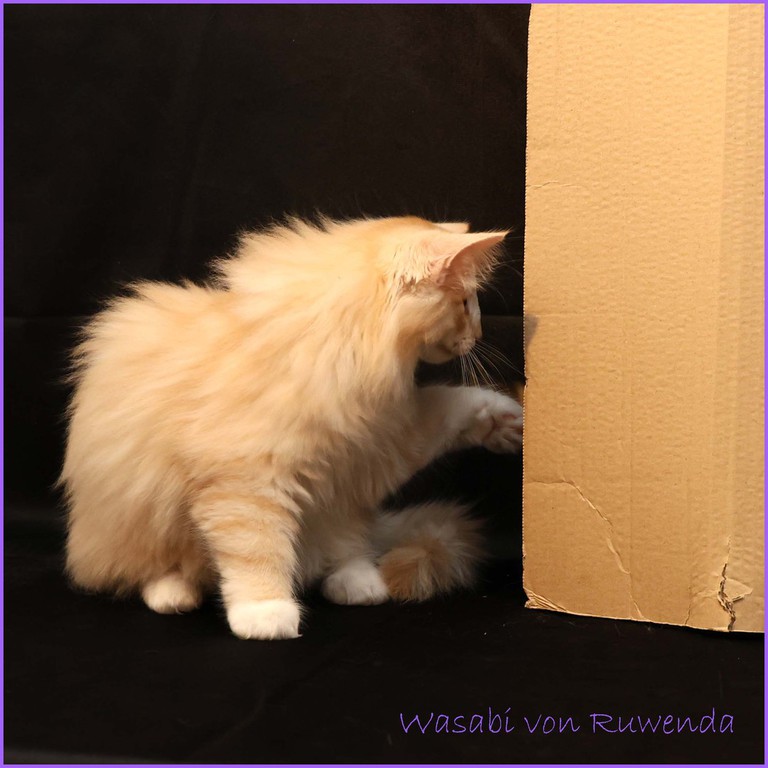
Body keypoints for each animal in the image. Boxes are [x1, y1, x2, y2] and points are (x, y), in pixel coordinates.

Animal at [61, 215, 523, 640]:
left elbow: (452, 405)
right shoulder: (247, 484)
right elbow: (256, 549)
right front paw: (264, 612)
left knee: (348, 544)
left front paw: (503, 418)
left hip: (343, 498)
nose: (478, 331)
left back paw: (359, 581)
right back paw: (172, 591)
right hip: (139, 517)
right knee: (149, 566)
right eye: (465, 304)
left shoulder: (379, 441)